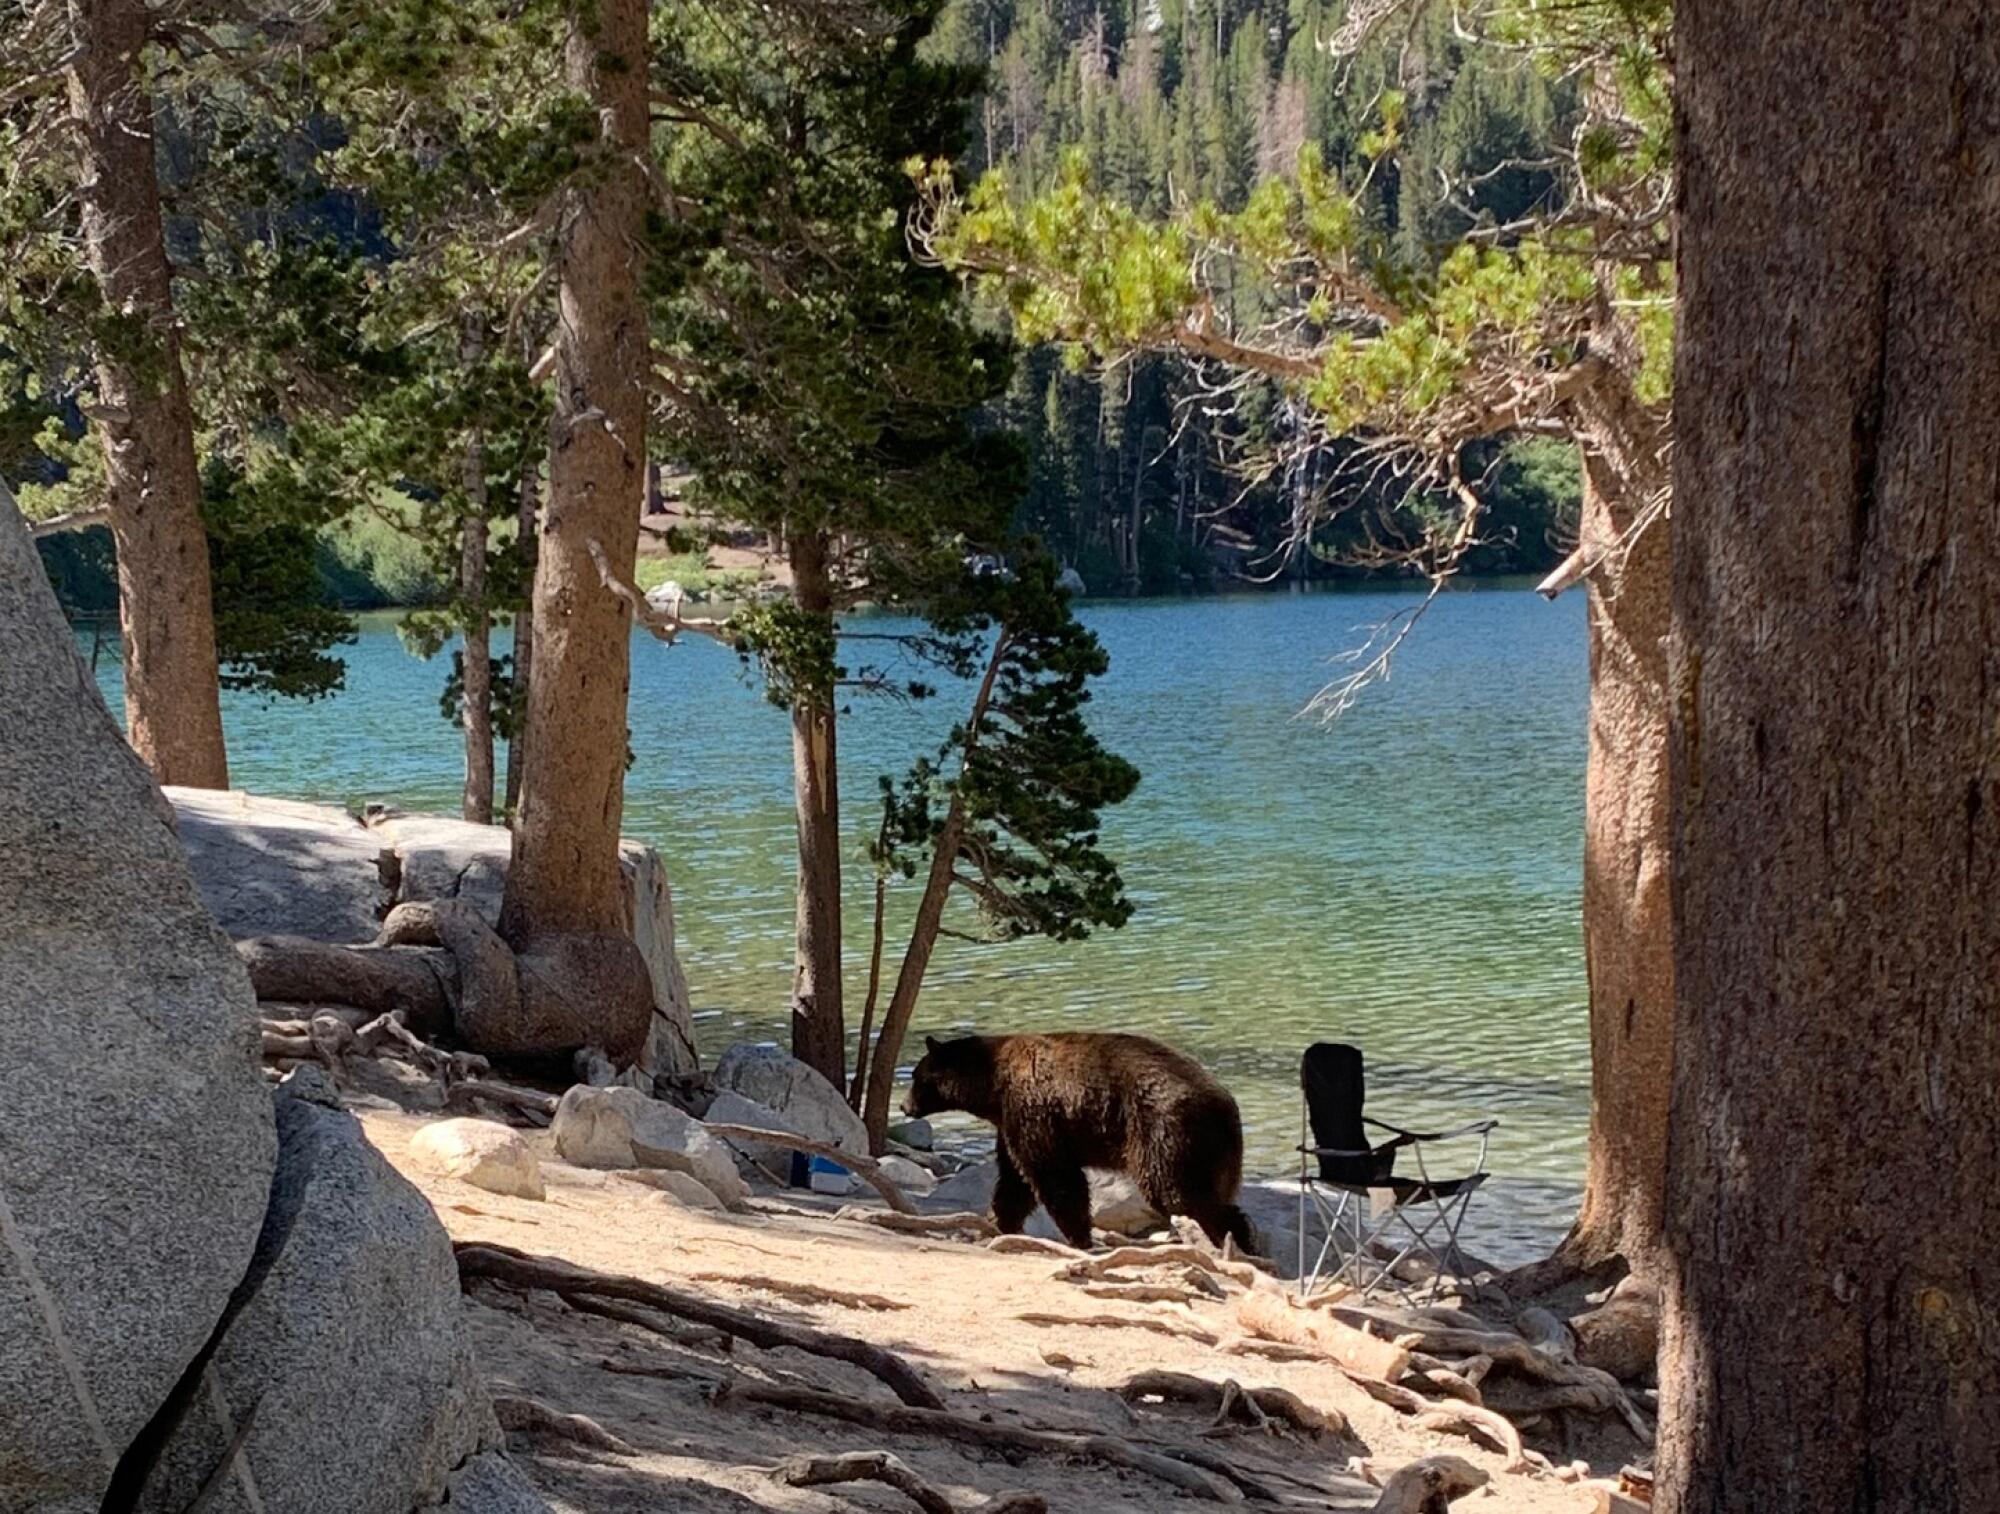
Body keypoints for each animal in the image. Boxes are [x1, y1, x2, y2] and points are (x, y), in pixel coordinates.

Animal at [904, 1024, 1248, 1256]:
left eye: (917, 1078)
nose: (904, 1106)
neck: (992, 1085)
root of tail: (1224, 1104)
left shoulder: (1032, 1111)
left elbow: (1054, 1176)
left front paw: (1079, 1236)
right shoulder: (1013, 1123)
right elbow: (1015, 1180)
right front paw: (1001, 1223)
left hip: (1162, 1129)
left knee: (1174, 1189)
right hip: (1215, 1150)